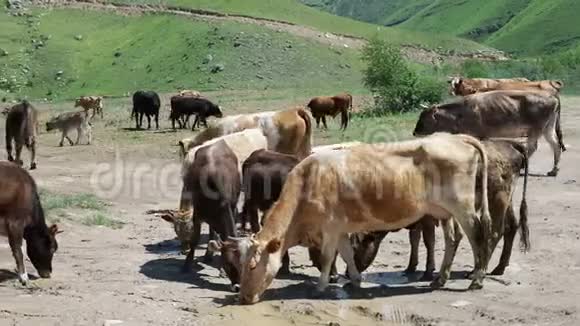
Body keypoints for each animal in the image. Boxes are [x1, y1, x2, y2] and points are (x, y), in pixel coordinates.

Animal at [179, 140, 240, 290]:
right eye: (229, 264)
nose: (238, 287)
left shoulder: (233, 208)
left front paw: (221, 271)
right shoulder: (197, 215)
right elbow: (194, 240)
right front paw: (186, 265)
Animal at [220, 132, 492, 304]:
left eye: (252, 266)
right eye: (238, 265)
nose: (243, 297)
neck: (308, 182)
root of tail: (456, 137)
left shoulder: (329, 228)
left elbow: (328, 257)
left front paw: (321, 286)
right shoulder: (340, 228)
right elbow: (347, 254)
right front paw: (355, 280)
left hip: (463, 208)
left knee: (477, 236)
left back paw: (476, 279)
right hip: (444, 212)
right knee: (452, 238)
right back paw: (440, 278)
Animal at [348, 139, 532, 278]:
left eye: (355, 247)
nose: (348, 275)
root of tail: (509, 143)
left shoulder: (427, 217)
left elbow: (428, 240)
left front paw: (428, 270)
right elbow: (414, 239)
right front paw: (411, 267)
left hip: (497, 199)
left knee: (495, 231)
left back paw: (478, 270)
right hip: (506, 199)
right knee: (511, 226)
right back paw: (499, 267)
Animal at [414, 89, 564, 176]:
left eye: (424, 117)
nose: (415, 131)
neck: (459, 113)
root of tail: (551, 95)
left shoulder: (477, 135)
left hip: (536, 129)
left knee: (534, 147)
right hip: (548, 128)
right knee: (555, 144)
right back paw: (553, 170)